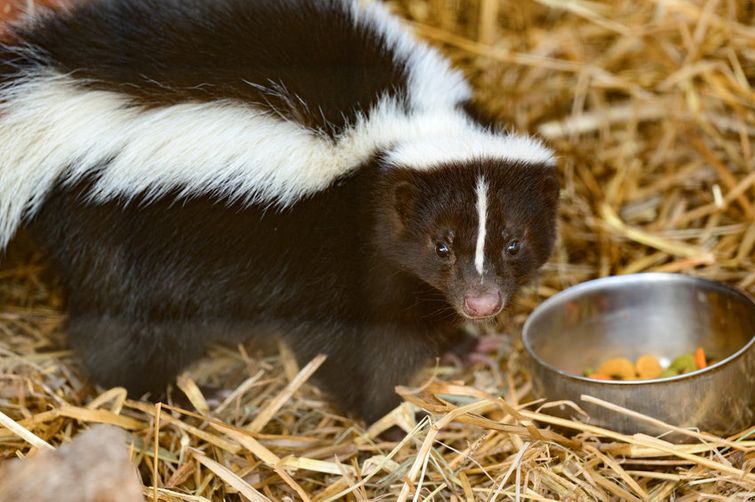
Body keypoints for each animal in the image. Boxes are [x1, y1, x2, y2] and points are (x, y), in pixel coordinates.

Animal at [0, 0, 556, 422]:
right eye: (440, 246)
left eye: (514, 243)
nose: (482, 302)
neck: (403, 126)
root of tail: (62, 86)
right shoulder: (336, 259)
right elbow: (359, 349)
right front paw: (392, 417)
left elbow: (415, 303)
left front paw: (462, 343)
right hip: (117, 234)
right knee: (119, 335)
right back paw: (177, 395)